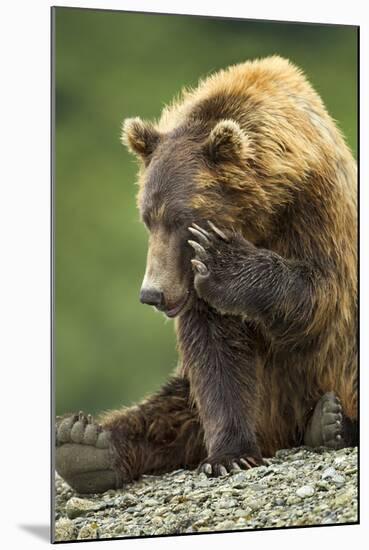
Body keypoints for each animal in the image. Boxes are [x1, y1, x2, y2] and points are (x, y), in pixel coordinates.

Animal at [55, 57, 356, 496]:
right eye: (147, 218)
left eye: (182, 219)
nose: (153, 294)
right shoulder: (191, 288)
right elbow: (215, 353)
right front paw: (230, 454)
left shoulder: (317, 211)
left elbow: (320, 294)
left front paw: (224, 259)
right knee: (172, 407)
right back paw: (84, 444)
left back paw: (331, 423)